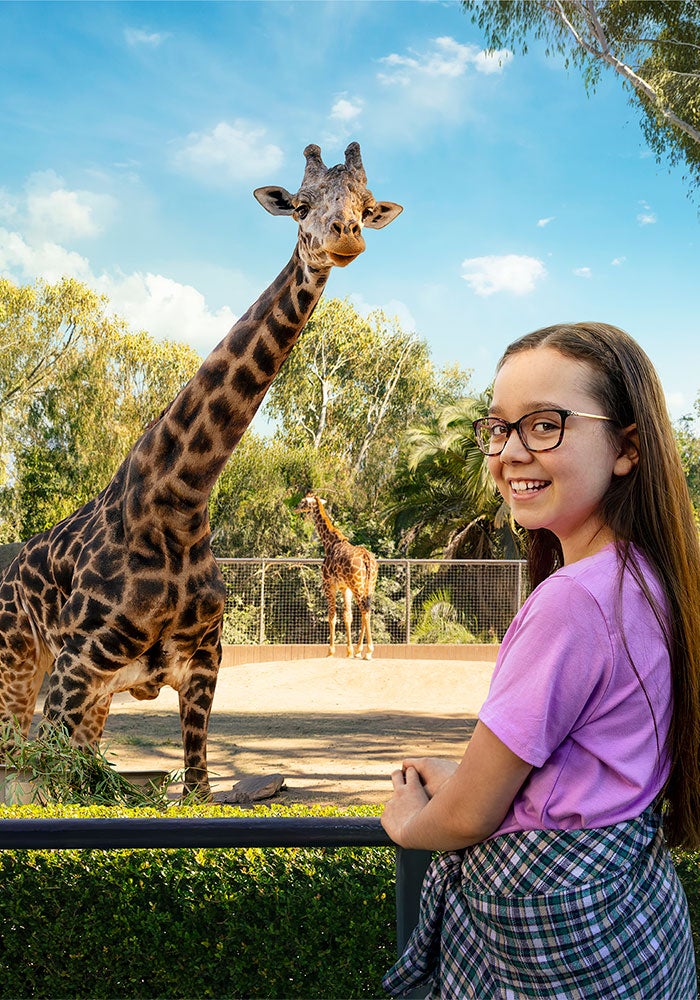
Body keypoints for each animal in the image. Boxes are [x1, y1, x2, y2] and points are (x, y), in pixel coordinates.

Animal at [298, 494, 379, 661]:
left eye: (303, 501)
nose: (296, 508)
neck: (329, 543)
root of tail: (367, 558)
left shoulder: (329, 584)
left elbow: (332, 616)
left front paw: (330, 651)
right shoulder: (344, 587)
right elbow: (347, 616)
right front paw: (349, 651)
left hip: (357, 586)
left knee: (365, 610)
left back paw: (368, 651)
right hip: (369, 585)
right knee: (366, 610)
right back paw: (360, 650)